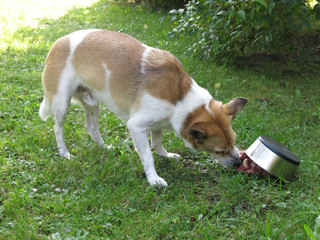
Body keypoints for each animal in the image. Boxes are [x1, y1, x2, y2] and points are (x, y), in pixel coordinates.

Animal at [38, 29, 248, 186]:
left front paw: (166, 155)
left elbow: (157, 143)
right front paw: (153, 178)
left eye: (234, 141)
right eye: (219, 151)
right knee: (58, 128)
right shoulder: (137, 126)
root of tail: (58, 42)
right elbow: (148, 155)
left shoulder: (158, 123)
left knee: (91, 127)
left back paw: (104, 147)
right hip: (61, 102)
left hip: (91, 101)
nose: (238, 161)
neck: (179, 96)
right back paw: (64, 153)